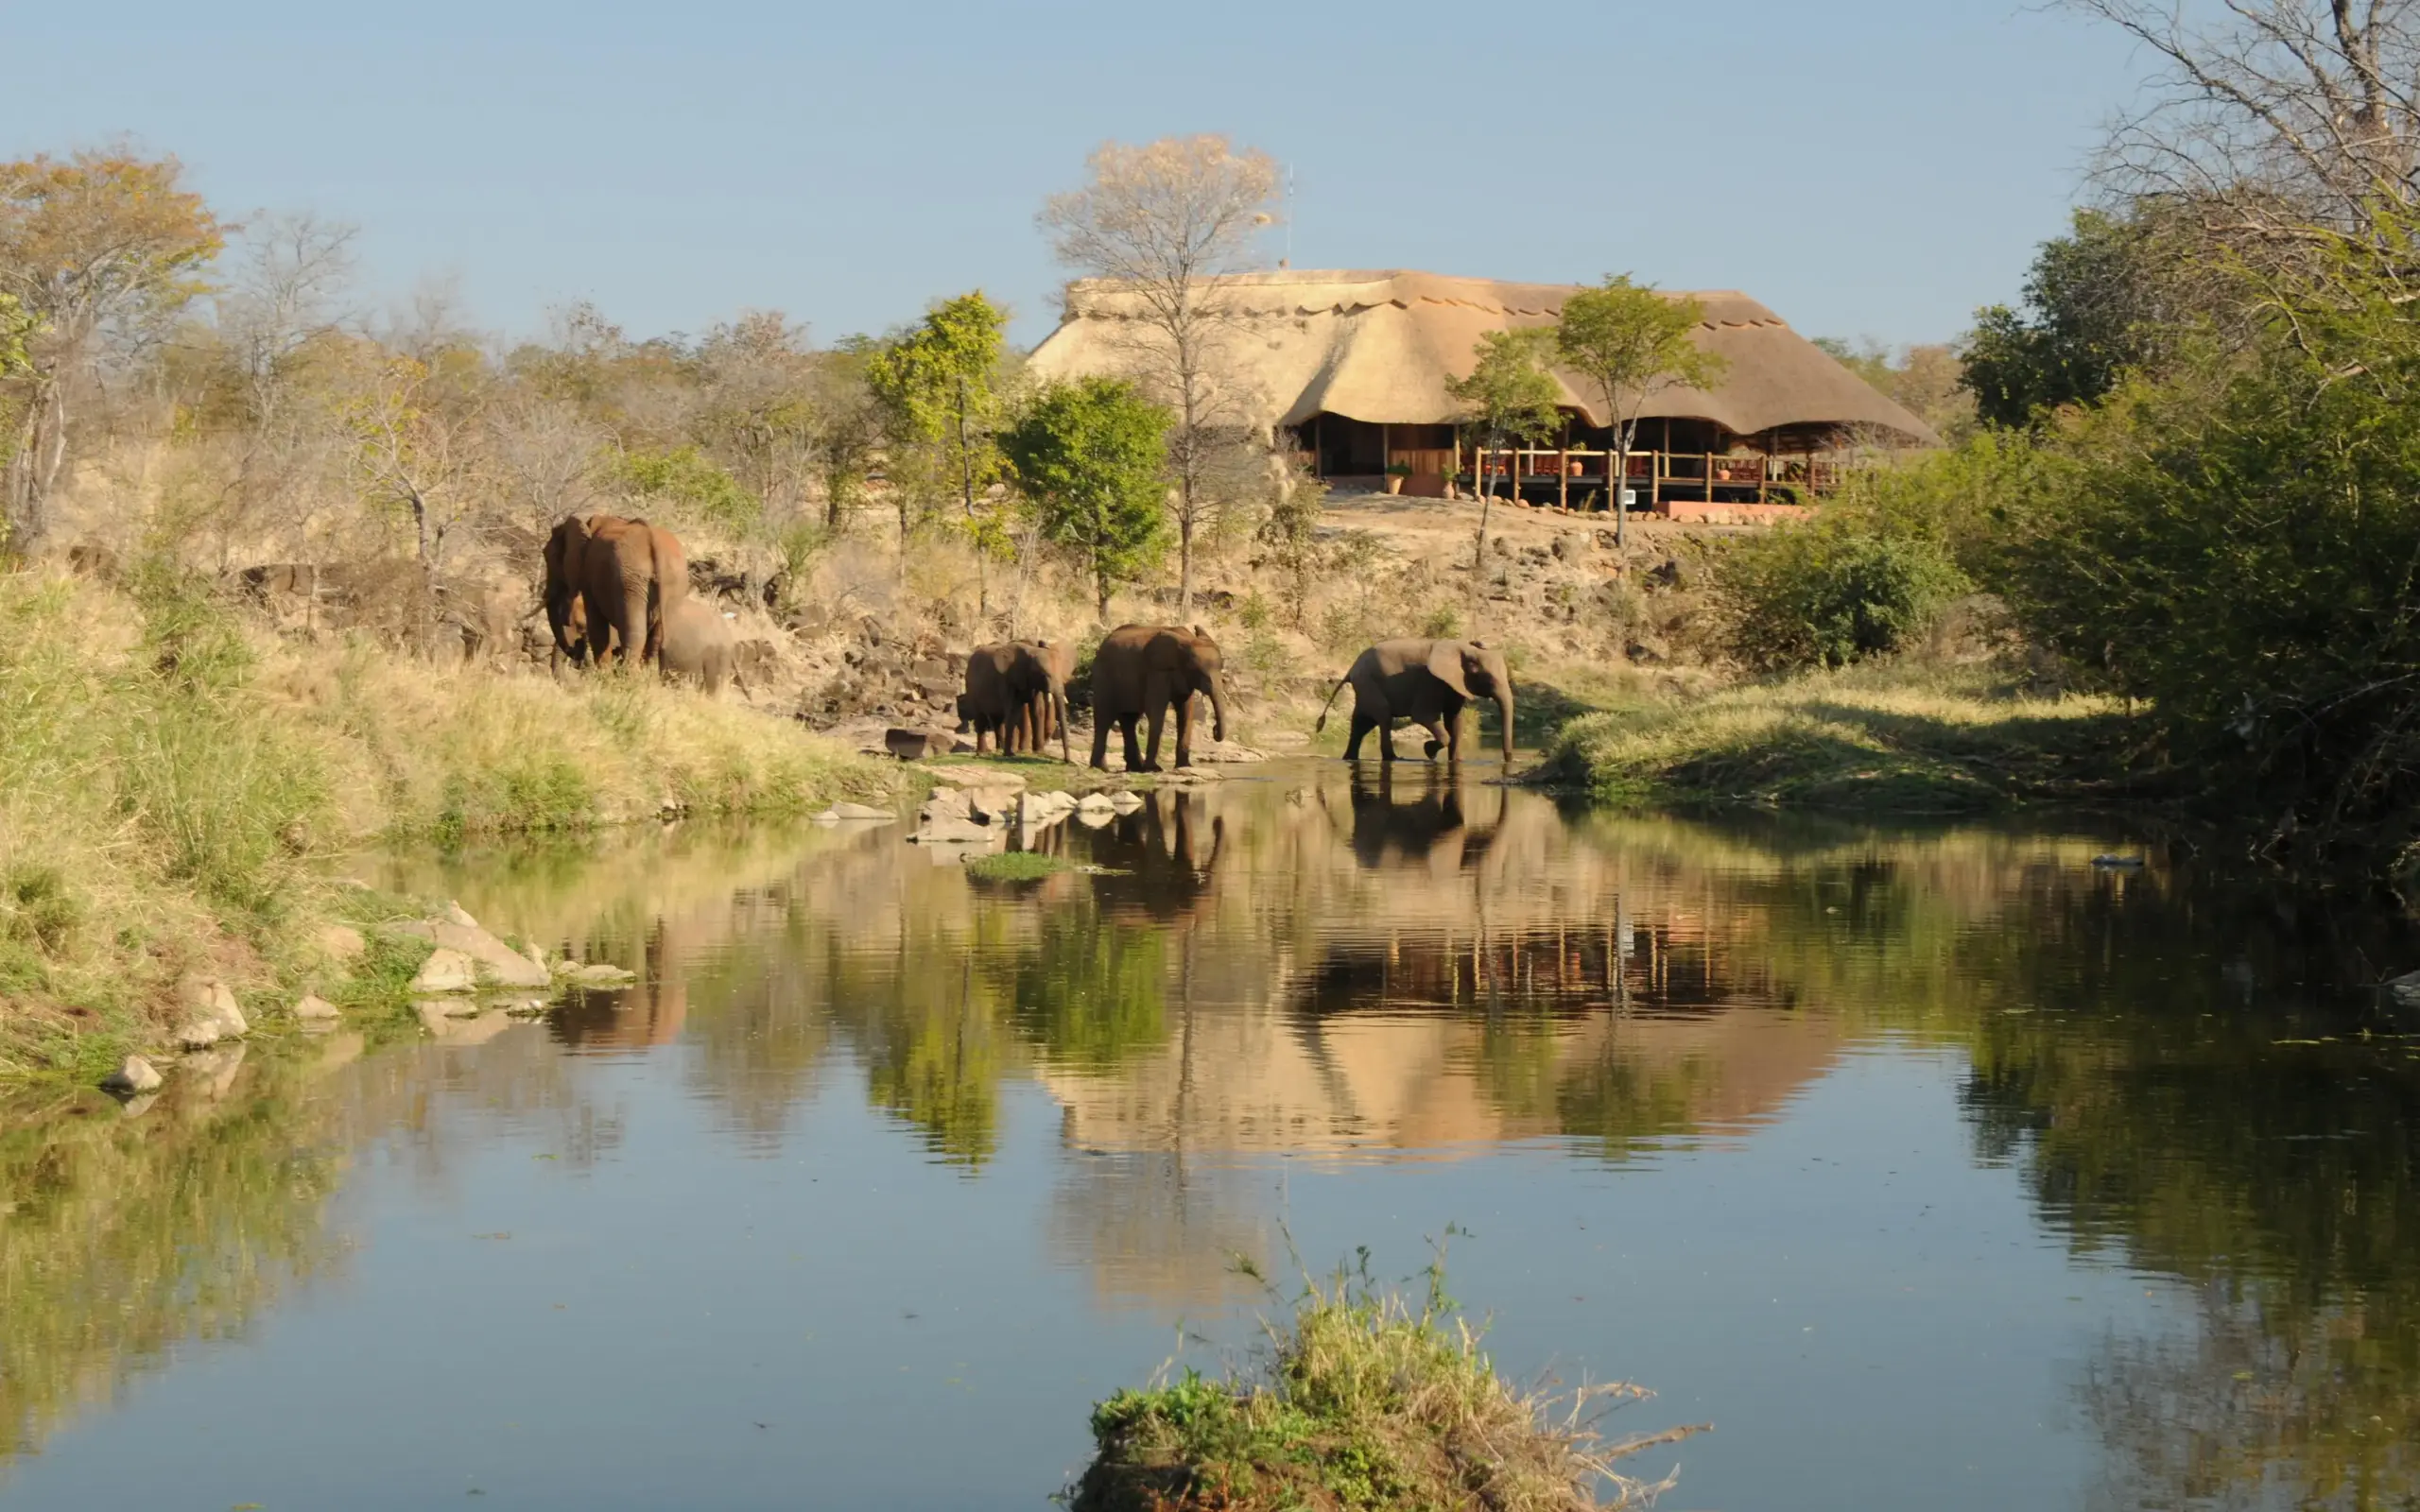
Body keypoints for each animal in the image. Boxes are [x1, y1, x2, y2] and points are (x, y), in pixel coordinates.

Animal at [543, 513, 689, 671]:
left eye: (547, 555)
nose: (574, 653)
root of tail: (652, 538)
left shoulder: (589, 574)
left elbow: (596, 626)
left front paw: (603, 674)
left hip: (631, 580)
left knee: (634, 632)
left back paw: (627, 673)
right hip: (673, 581)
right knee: (657, 637)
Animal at [1089, 624, 1228, 772]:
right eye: (1197, 671)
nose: (1214, 730)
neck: (1187, 640)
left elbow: (1186, 711)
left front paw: (1185, 766)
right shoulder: (1157, 671)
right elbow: (1156, 710)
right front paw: (1153, 769)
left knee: (1129, 720)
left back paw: (1134, 768)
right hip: (1103, 676)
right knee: (1104, 718)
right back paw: (1100, 768)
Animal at [1314, 638, 1515, 764]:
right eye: (1489, 679)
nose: (1507, 761)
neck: (1464, 648)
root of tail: (1351, 669)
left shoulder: (1455, 684)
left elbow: (1455, 721)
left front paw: (1457, 761)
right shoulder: (1430, 680)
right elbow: (1423, 716)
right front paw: (1429, 752)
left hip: (1364, 687)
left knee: (1361, 724)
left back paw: (1349, 758)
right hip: (1368, 683)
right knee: (1383, 717)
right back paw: (1393, 759)